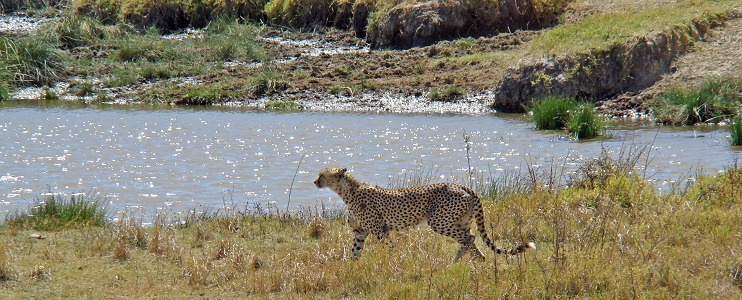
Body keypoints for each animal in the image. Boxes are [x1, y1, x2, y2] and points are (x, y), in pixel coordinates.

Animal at [314, 168, 536, 262]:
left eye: (323, 175)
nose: (315, 182)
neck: (347, 191)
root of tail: (464, 186)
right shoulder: (360, 232)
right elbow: (355, 251)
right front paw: (352, 267)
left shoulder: (379, 230)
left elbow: (389, 248)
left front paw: (395, 261)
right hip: (460, 221)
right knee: (470, 239)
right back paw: (478, 260)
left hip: (438, 221)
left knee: (470, 238)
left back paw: (456, 260)